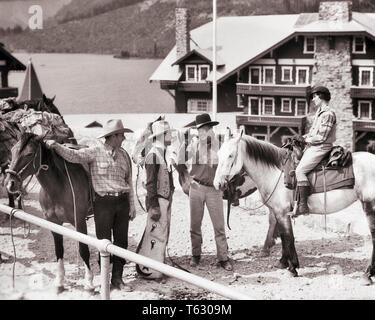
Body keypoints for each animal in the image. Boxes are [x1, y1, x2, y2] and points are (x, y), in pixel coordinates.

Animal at [4, 132, 93, 292]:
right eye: (12, 150)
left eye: (30, 154)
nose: (10, 183)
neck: (59, 187)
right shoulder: (53, 223)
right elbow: (59, 250)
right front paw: (60, 281)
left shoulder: (80, 222)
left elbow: (84, 249)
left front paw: (89, 282)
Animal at [214, 132, 375, 284]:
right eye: (218, 153)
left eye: (230, 155)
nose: (218, 184)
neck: (276, 173)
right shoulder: (278, 213)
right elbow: (284, 237)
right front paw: (283, 262)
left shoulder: (283, 212)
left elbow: (288, 237)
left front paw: (292, 268)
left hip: (369, 207)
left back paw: (367, 275)